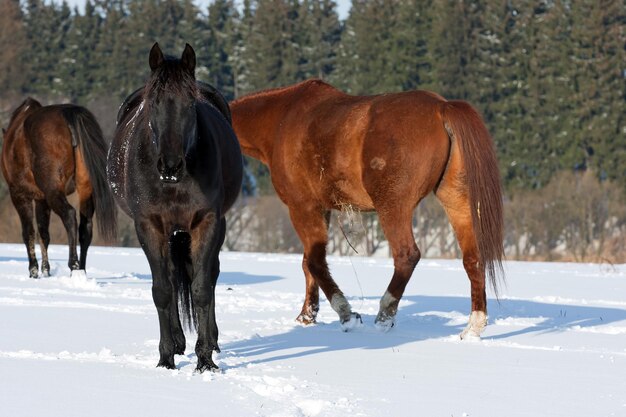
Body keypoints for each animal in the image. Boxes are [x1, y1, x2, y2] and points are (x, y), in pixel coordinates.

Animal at [0, 99, 117, 278]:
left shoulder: (20, 195)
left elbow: (28, 232)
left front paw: (34, 271)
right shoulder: (41, 199)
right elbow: (43, 233)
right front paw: (46, 270)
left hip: (53, 192)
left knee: (69, 215)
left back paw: (74, 265)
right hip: (85, 191)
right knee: (86, 227)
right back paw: (81, 270)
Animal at [106, 43, 243, 370]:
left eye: (190, 103)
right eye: (153, 102)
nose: (170, 165)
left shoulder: (207, 222)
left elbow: (201, 288)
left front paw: (205, 360)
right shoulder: (149, 226)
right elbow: (163, 290)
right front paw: (166, 357)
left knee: (208, 276)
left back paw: (211, 342)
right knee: (170, 276)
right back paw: (179, 344)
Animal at [229, 79, 502, 336]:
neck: (281, 119)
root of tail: (441, 107)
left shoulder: (302, 207)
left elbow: (315, 262)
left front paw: (345, 314)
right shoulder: (322, 209)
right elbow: (308, 263)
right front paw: (307, 316)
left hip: (393, 207)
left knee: (407, 255)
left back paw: (384, 314)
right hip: (456, 201)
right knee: (473, 258)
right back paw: (474, 325)